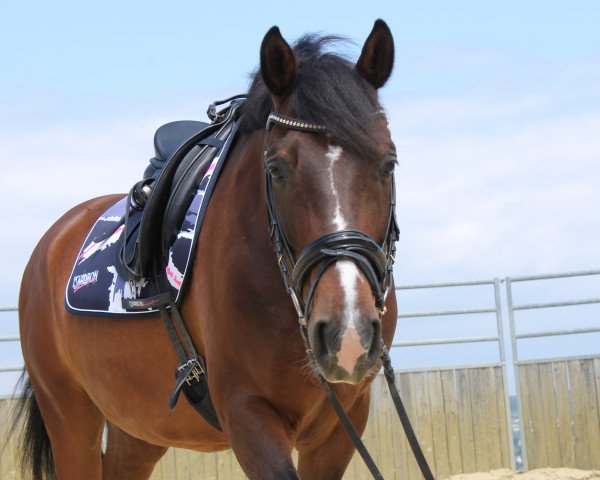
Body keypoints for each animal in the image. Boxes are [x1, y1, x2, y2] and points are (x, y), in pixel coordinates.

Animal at [11, 19, 398, 480]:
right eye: (276, 169)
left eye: (388, 163)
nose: (347, 332)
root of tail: (52, 242)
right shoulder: (247, 413)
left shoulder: (344, 421)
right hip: (70, 421)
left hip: (138, 431)